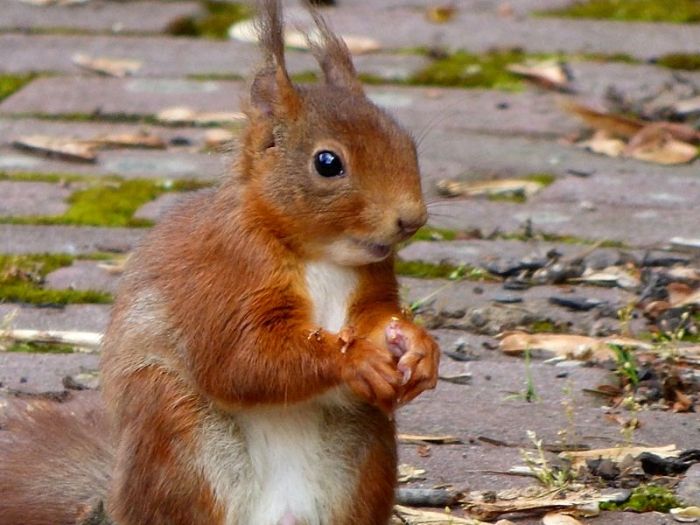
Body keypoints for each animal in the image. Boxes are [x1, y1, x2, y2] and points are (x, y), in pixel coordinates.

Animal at [0, 1, 440, 524]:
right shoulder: (224, 273)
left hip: (362, 452)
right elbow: (239, 359)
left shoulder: (372, 282)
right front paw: (354, 358)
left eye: (408, 142)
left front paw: (419, 346)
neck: (318, 256)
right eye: (328, 163)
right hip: (178, 430)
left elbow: (377, 317)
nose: (411, 219)